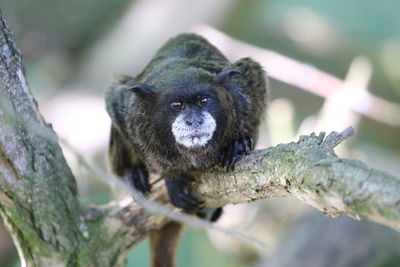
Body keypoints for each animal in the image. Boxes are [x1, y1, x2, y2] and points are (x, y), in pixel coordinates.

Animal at [106, 33, 268, 267]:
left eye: (204, 101)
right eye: (177, 105)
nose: (194, 121)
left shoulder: (245, 85)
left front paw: (238, 144)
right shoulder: (124, 106)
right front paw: (170, 178)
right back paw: (132, 175)